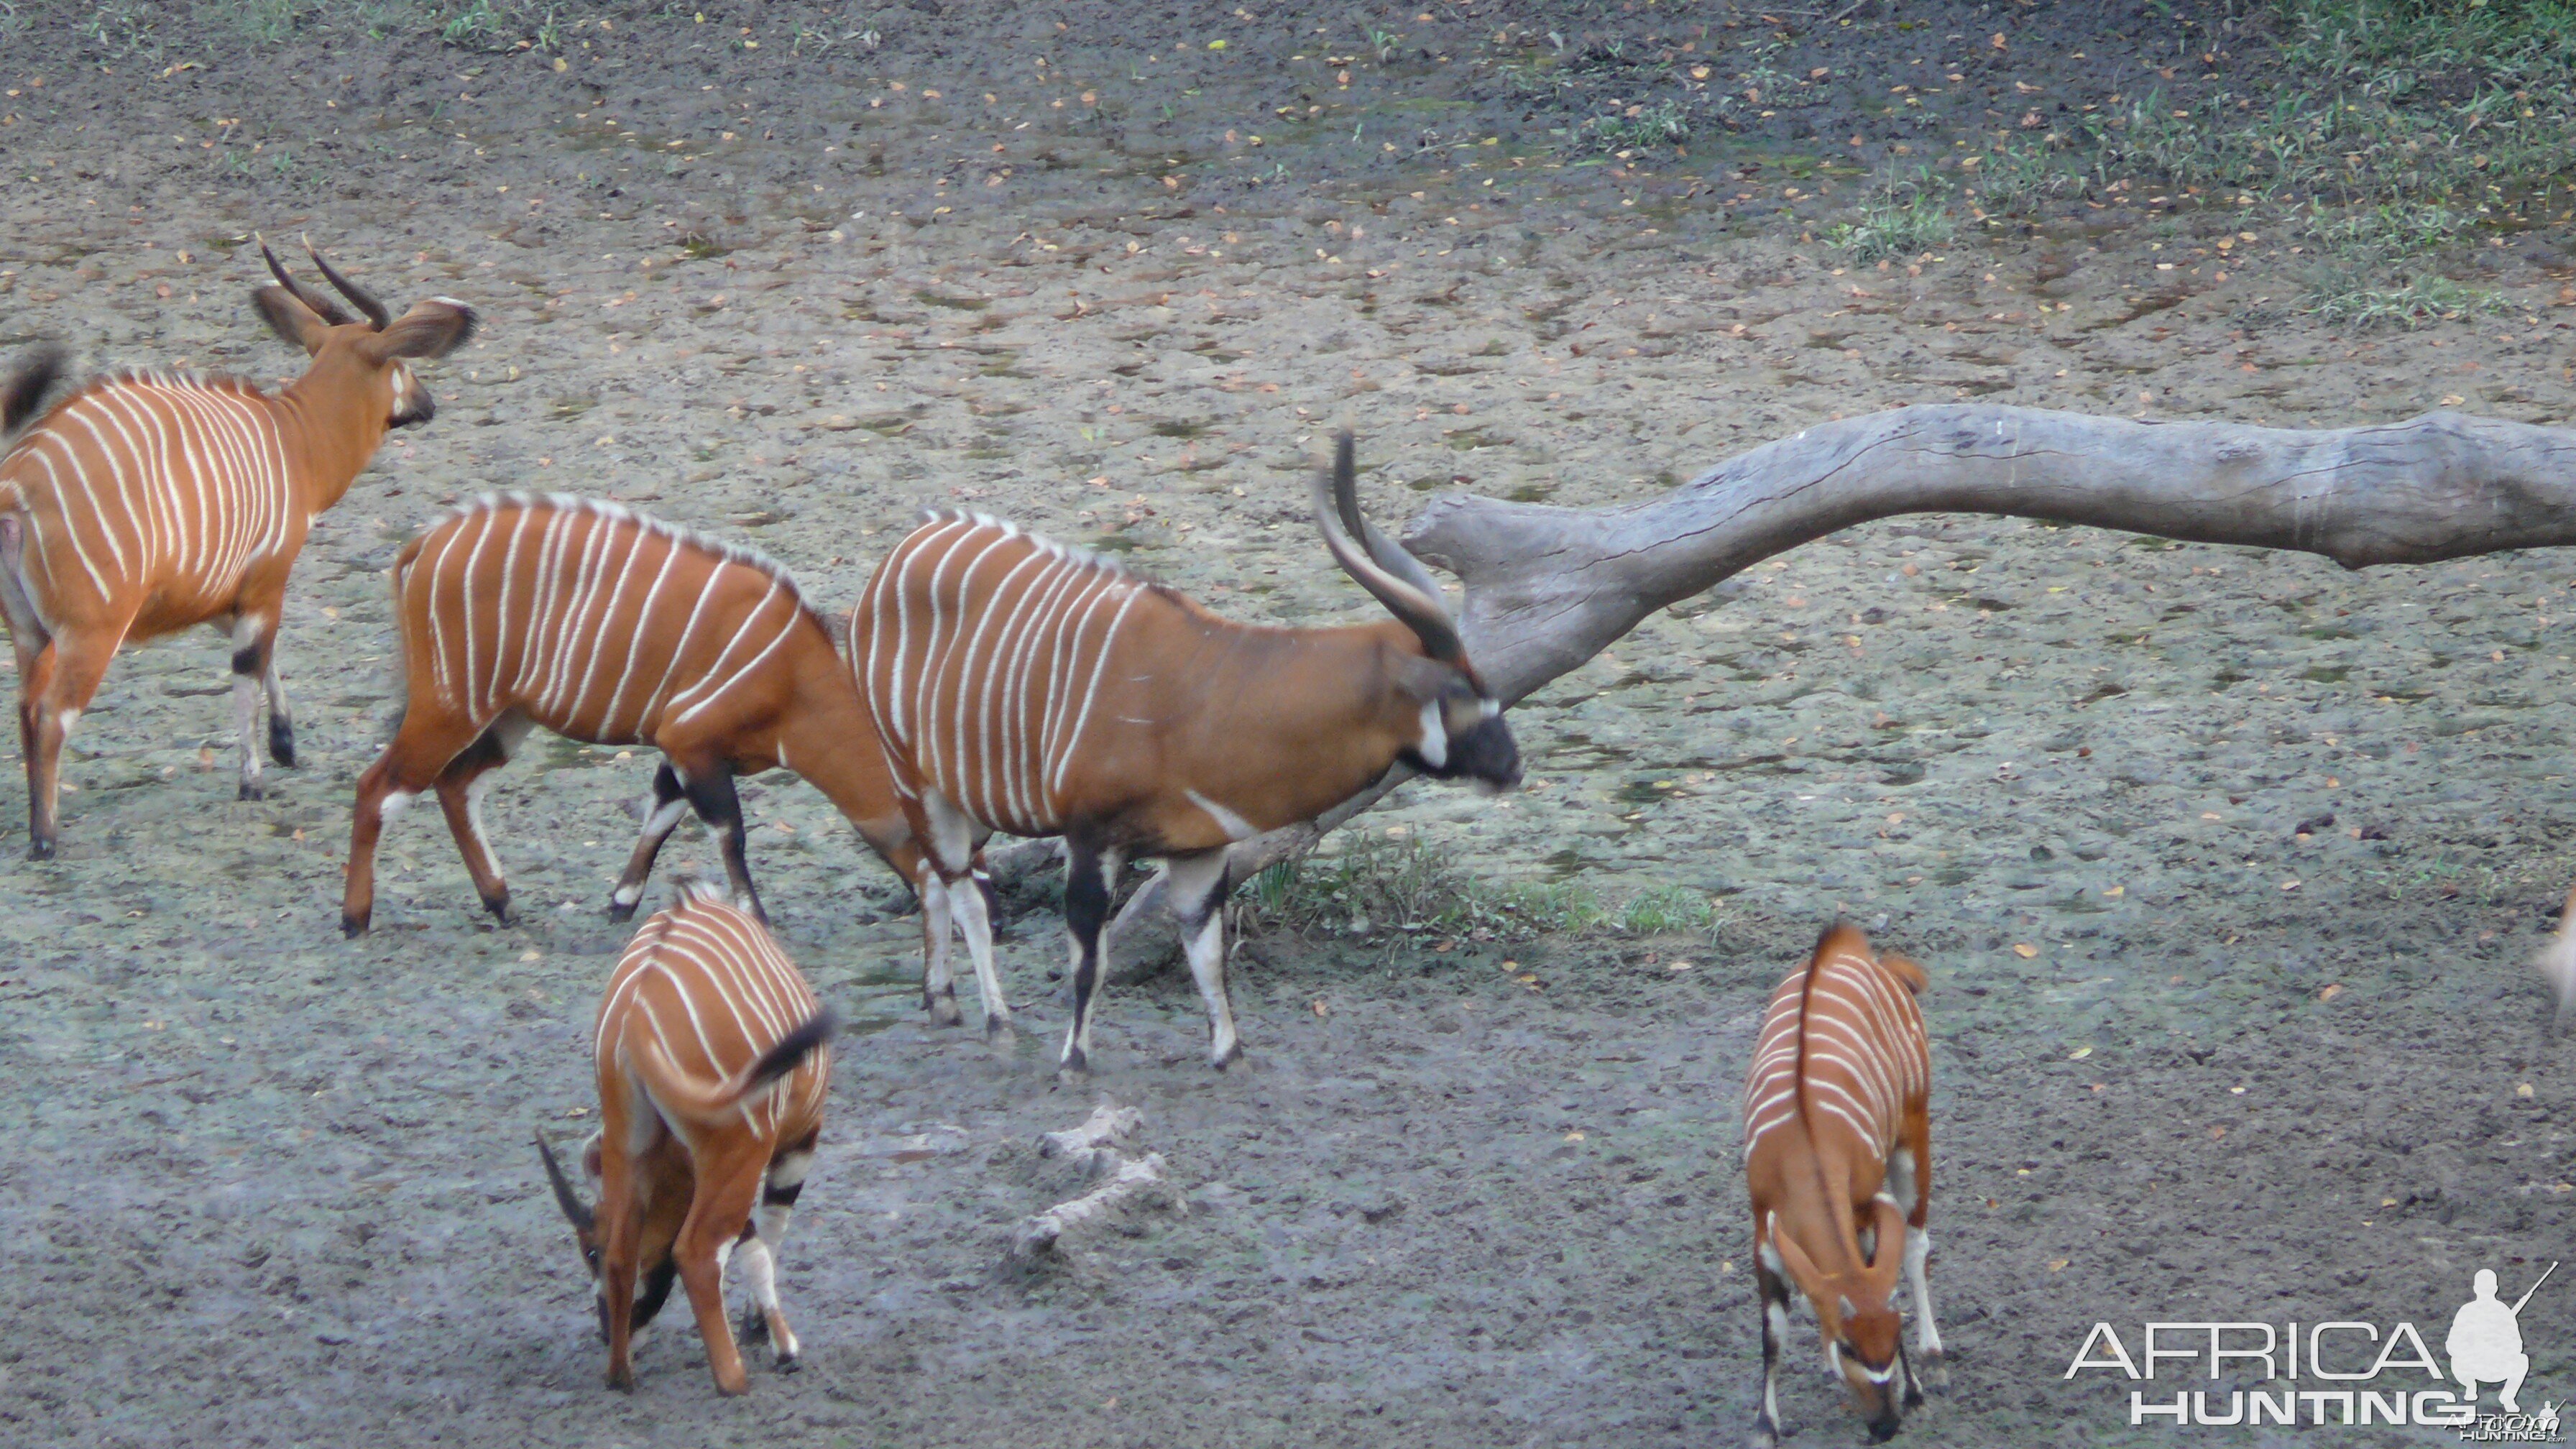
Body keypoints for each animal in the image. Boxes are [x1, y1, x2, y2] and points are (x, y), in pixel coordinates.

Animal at [0, 241, 474, 850]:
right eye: (402, 363)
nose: (427, 403)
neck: (291, 437)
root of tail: (18, 482)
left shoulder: (221, 594)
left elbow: (266, 654)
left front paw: (286, 743)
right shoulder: (266, 581)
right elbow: (249, 667)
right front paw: (253, 781)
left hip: (30, 633)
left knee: (25, 710)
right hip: (90, 633)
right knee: (52, 714)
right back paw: (45, 837)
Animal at [342, 489, 984, 985]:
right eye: (950, 849)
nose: (991, 915)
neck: (793, 678)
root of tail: (425, 544)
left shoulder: (683, 751)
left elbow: (662, 813)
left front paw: (620, 903)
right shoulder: (691, 742)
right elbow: (729, 832)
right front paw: (756, 918)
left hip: (508, 716)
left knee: (456, 786)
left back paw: (501, 904)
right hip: (451, 705)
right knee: (378, 786)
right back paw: (356, 919)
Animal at [535, 876, 834, 1392]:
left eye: (589, 1250)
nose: (606, 1333)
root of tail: (634, 1019)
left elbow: (749, 1243)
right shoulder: (791, 1143)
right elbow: (766, 1238)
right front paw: (779, 1345)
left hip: (629, 1143)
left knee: (626, 1252)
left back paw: (620, 1375)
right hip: (743, 1147)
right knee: (697, 1252)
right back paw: (733, 1378)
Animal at [855, 428, 1514, 1072]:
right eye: (1455, 691)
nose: (1511, 765)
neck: (1201, 697)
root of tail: (903, 550)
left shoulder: (1200, 848)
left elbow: (1206, 953)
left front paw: (1228, 1055)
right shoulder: (1090, 836)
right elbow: (1089, 957)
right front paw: (1073, 1061)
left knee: (934, 878)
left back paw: (943, 1004)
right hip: (915, 778)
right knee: (961, 890)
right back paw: (998, 1027)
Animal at [1741, 918, 1937, 1433]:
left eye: (1893, 1337)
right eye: (1847, 1345)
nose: (1885, 1427)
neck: (1804, 1145)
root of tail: (1851, 949)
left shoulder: (1863, 1210)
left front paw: (1915, 1391)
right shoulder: (1764, 1228)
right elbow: (1774, 1331)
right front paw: (1766, 1427)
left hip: (1914, 1133)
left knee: (1916, 1242)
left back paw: (1935, 1352)